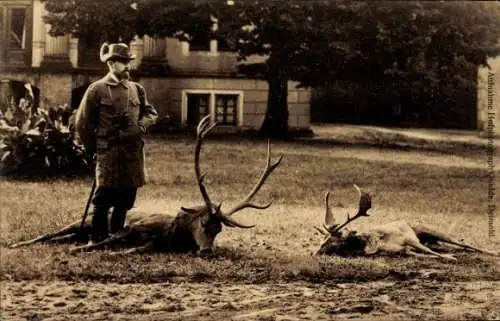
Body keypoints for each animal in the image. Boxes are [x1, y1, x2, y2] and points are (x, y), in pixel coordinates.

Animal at [9, 115, 284, 255]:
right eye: (205, 223)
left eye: (219, 230)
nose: (207, 251)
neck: (171, 234)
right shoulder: (133, 227)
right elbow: (110, 239)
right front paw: (82, 251)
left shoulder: (153, 244)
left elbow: (134, 249)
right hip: (81, 221)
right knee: (51, 233)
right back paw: (19, 244)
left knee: (64, 237)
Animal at [314, 185, 498, 260]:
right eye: (322, 240)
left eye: (330, 240)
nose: (314, 253)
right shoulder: (404, 250)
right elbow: (422, 253)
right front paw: (447, 256)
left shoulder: (408, 239)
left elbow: (430, 252)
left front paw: (450, 258)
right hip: (435, 240)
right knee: (449, 246)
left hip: (433, 231)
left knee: (463, 243)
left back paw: (493, 252)